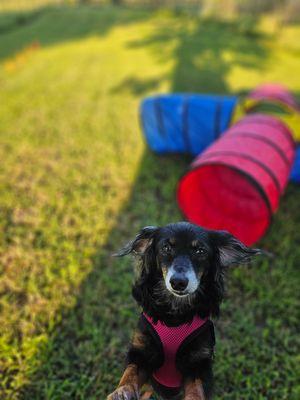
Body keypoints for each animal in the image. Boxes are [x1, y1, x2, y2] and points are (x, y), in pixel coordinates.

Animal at [106, 222, 262, 400]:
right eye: (166, 247)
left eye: (200, 251)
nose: (178, 282)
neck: (175, 315)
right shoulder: (141, 352)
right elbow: (131, 371)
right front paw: (122, 391)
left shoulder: (198, 362)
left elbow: (196, 387)